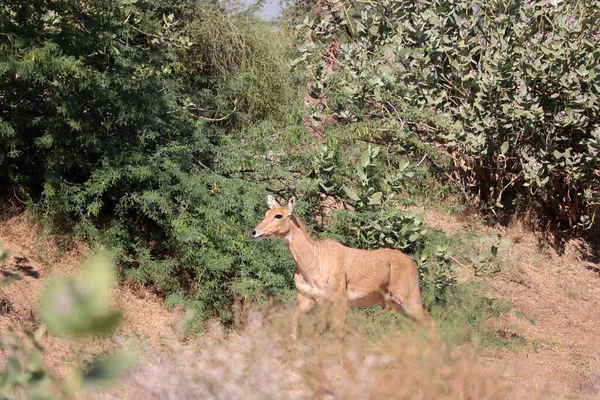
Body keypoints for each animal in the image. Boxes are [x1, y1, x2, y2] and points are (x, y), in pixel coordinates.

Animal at [248, 195, 432, 340]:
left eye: (278, 215)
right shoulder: (307, 299)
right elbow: (296, 325)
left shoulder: (341, 300)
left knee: (430, 323)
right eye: (266, 213)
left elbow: (336, 333)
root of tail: (412, 264)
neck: (315, 260)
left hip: (410, 298)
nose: (254, 232)